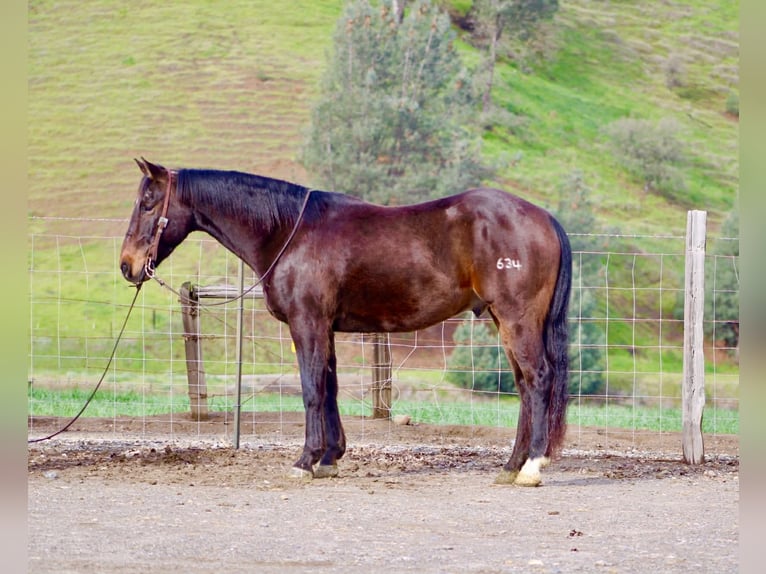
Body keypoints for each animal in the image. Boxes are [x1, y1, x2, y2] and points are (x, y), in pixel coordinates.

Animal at [120, 158, 572, 486]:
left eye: (148, 202)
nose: (127, 265)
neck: (291, 231)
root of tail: (545, 218)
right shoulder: (326, 328)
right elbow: (330, 387)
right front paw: (329, 458)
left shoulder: (307, 324)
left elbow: (311, 390)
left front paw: (305, 461)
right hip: (504, 321)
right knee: (524, 386)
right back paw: (511, 465)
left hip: (516, 319)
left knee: (537, 380)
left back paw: (531, 466)